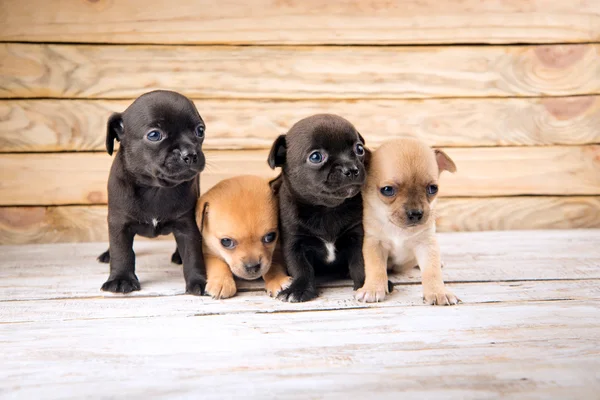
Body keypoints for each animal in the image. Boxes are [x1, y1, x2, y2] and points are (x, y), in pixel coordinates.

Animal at [99, 91, 207, 296]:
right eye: (155, 135)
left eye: (200, 131)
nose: (189, 153)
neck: (155, 188)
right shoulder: (119, 222)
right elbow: (121, 251)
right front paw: (121, 278)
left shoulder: (187, 225)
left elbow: (193, 255)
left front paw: (200, 281)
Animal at [268, 114, 370, 302]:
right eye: (316, 157)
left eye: (359, 149)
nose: (351, 168)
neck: (326, 210)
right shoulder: (295, 242)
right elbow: (300, 267)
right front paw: (298, 288)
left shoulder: (357, 236)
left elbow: (361, 262)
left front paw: (367, 284)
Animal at [356, 138, 460, 306]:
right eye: (387, 190)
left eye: (433, 188)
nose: (416, 213)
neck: (399, 229)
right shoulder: (374, 244)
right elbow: (375, 267)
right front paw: (372, 288)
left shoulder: (426, 244)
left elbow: (432, 271)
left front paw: (438, 291)